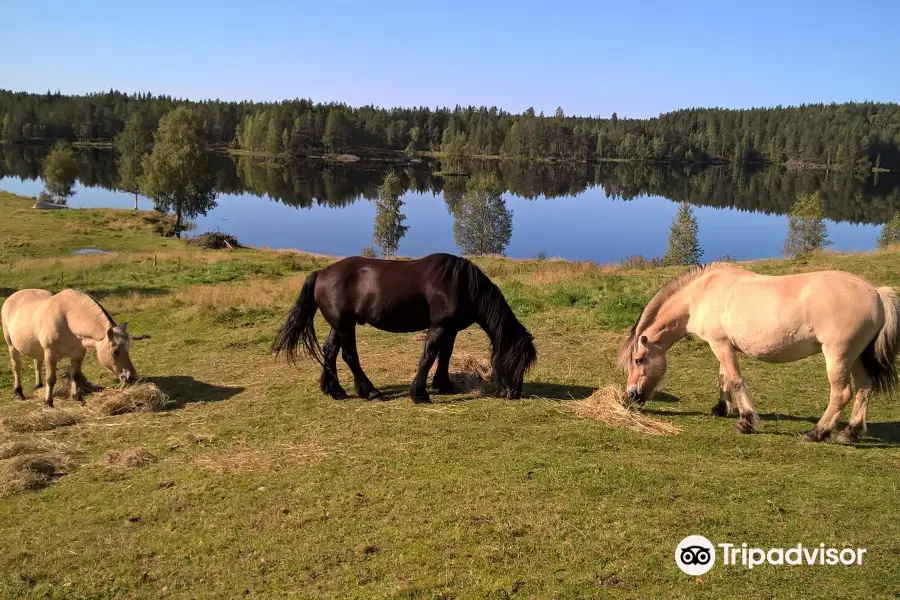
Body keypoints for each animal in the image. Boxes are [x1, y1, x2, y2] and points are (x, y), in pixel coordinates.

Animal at [2, 288, 138, 408]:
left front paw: (77, 398)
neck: (68, 318)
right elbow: (51, 379)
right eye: (115, 351)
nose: (131, 377)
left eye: (127, 349)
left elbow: (75, 376)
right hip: (12, 346)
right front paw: (48, 402)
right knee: (16, 366)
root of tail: (12, 297)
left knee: (37, 363)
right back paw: (19, 392)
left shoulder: (78, 354)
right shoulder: (50, 354)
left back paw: (39, 385)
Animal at [270, 253, 536, 404]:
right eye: (515, 360)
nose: (514, 393)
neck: (461, 285)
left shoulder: (450, 329)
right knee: (349, 356)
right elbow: (429, 356)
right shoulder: (439, 326)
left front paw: (443, 385)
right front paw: (420, 394)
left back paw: (334, 390)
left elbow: (445, 355)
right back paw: (370, 392)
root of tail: (321, 273)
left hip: (341, 324)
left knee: (329, 352)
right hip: (346, 326)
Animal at [620, 264, 900, 442]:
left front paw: (746, 422)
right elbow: (723, 378)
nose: (630, 396)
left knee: (841, 393)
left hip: (838, 356)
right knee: (865, 388)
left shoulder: (720, 345)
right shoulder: (723, 346)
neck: (699, 294)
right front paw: (721, 408)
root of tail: (877, 293)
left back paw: (817, 433)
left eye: (639, 360)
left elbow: (735, 380)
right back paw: (850, 432)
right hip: (856, 357)